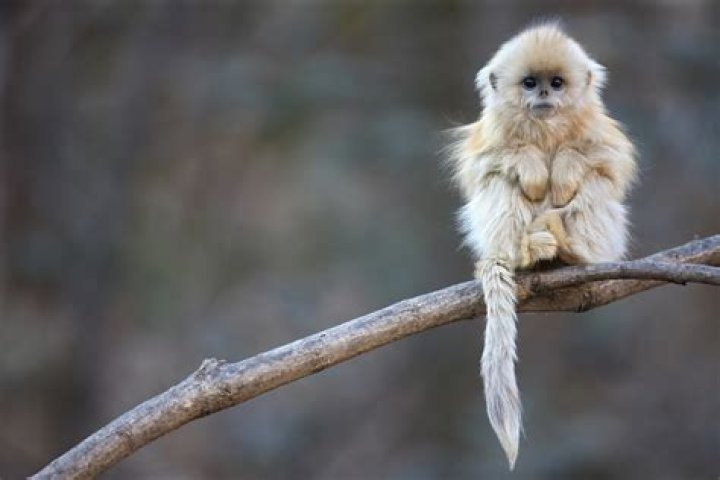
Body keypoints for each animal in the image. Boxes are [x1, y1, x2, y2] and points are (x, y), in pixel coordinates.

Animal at [447, 23, 637, 468]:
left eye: (557, 83)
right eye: (530, 83)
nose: (545, 95)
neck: (546, 129)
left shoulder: (598, 130)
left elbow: (610, 162)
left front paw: (565, 166)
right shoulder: (490, 134)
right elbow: (484, 165)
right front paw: (532, 165)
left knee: (596, 182)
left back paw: (570, 249)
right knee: (499, 182)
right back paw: (526, 252)